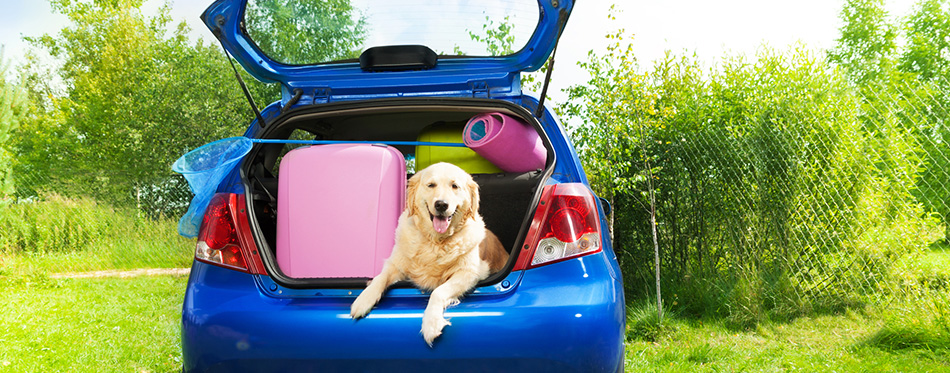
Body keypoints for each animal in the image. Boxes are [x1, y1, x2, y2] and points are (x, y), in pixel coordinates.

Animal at [350, 161, 510, 344]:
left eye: (455, 186)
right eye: (431, 185)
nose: (441, 204)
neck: (435, 242)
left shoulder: (470, 272)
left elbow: (438, 291)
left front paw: (431, 323)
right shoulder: (396, 263)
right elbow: (380, 278)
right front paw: (363, 300)